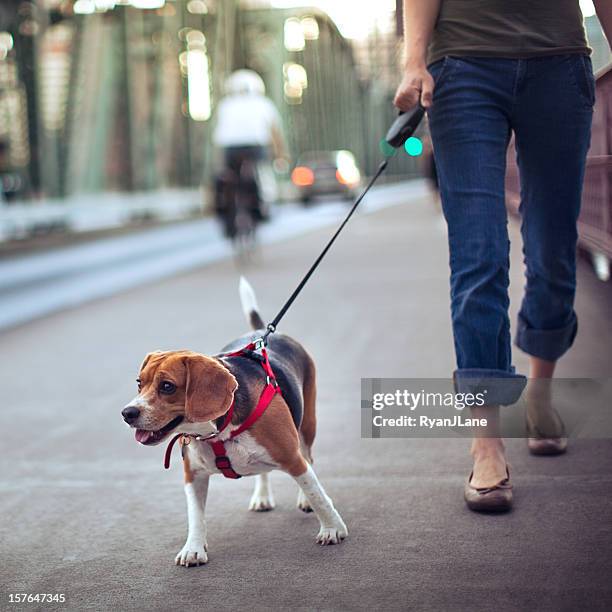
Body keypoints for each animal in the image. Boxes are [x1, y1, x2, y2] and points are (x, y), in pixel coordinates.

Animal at [122, 280, 346, 568]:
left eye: (167, 386)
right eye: (140, 383)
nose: (127, 413)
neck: (218, 429)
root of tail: (261, 332)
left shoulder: (291, 457)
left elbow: (317, 493)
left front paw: (332, 528)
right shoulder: (193, 475)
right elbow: (195, 515)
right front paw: (193, 548)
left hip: (307, 425)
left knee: (309, 459)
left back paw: (303, 499)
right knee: (264, 471)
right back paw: (262, 496)